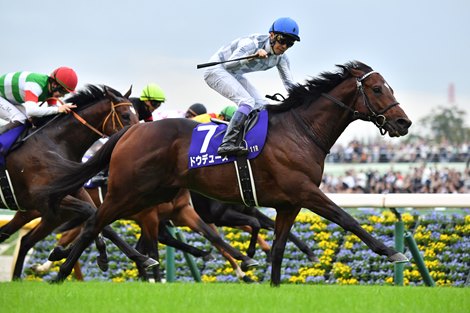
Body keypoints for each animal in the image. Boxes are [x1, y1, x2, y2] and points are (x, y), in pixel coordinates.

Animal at [0, 84, 160, 276]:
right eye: (125, 115)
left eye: (137, 114)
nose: (141, 138)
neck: (54, 144)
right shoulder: (43, 198)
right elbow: (89, 213)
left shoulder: (74, 192)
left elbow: (100, 221)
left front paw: (137, 258)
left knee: (17, 238)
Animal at [45, 61, 412, 286]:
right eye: (377, 89)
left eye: (389, 88)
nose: (403, 122)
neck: (300, 131)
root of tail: (131, 130)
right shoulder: (305, 191)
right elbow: (346, 219)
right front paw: (393, 252)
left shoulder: (288, 203)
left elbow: (279, 246)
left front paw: (273, 284)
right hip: (129, 191)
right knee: (94, 222)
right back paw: (61, 271)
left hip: (154, 196)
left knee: (113, 228)